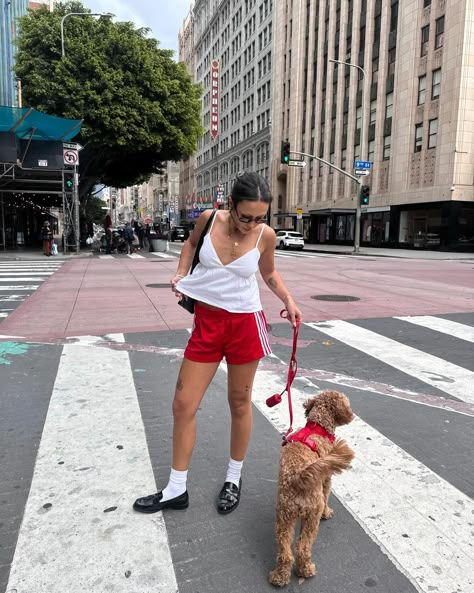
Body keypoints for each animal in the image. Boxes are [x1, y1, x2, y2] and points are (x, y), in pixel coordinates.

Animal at [268, 388, 354, 588]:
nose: (353, 414)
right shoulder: (326, 479)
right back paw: (306, 570)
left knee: (285, 552)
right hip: (311, 517)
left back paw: (279, 577)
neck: (317, 427)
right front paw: (327, 512)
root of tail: (298, 477)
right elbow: (327, 494)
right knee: (302, 548)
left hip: (284, 518)